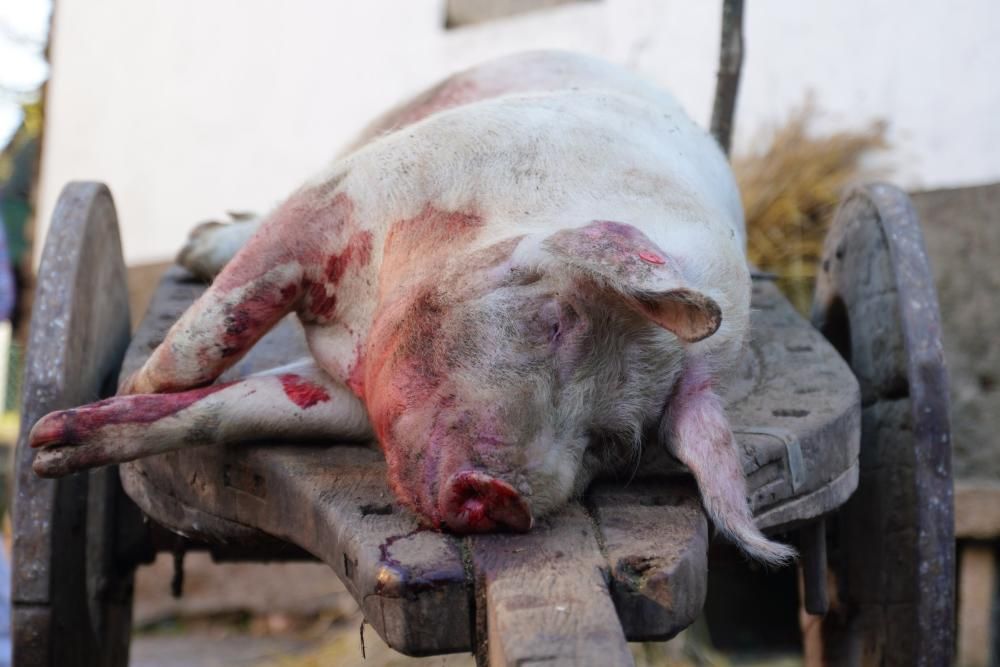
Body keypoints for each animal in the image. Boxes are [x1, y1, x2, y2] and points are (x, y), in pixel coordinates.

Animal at [27, 49, 796, 568]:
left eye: (608, 440)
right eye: (556, 323)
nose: (505, 497)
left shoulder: (344, 396)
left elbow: (229, 409)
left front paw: (49, 444)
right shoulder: (341, 198)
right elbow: (217, 327)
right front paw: (103, 401)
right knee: (248, 231)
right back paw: (196, 246)